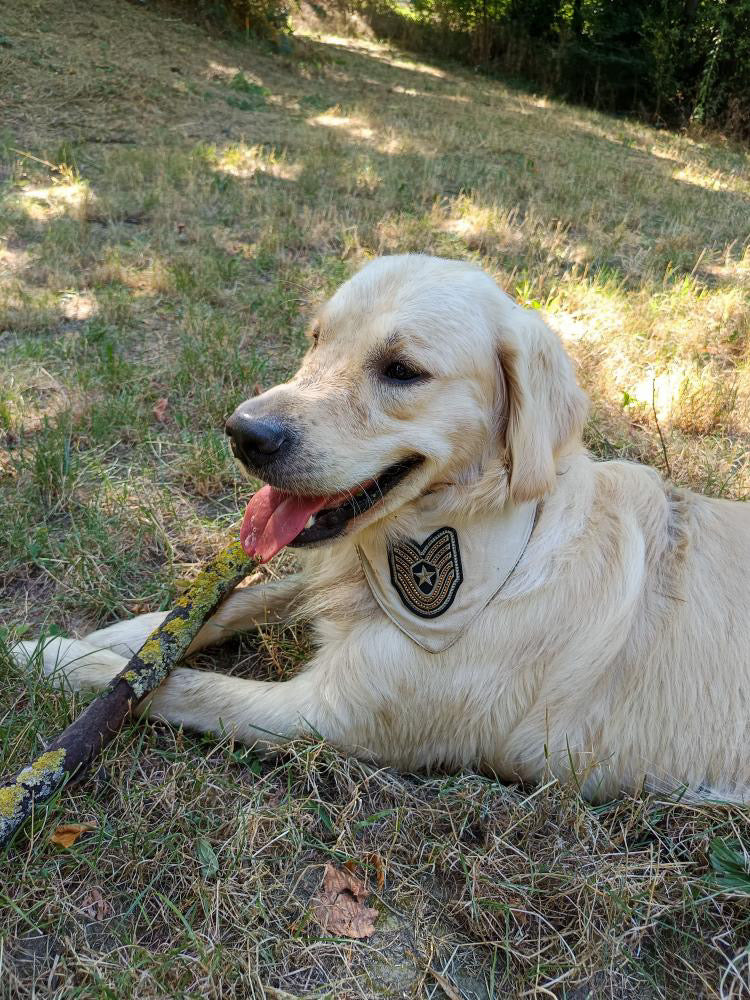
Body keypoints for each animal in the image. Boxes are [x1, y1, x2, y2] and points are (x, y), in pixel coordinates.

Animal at [14, 254, 750, 800]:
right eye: (316, 339)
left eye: (402, 371)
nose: (243, 433)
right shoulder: (339, 576)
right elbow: (228, 604)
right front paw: (112, 639)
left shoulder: (329, 714)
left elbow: (185, 685)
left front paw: (55, 660)